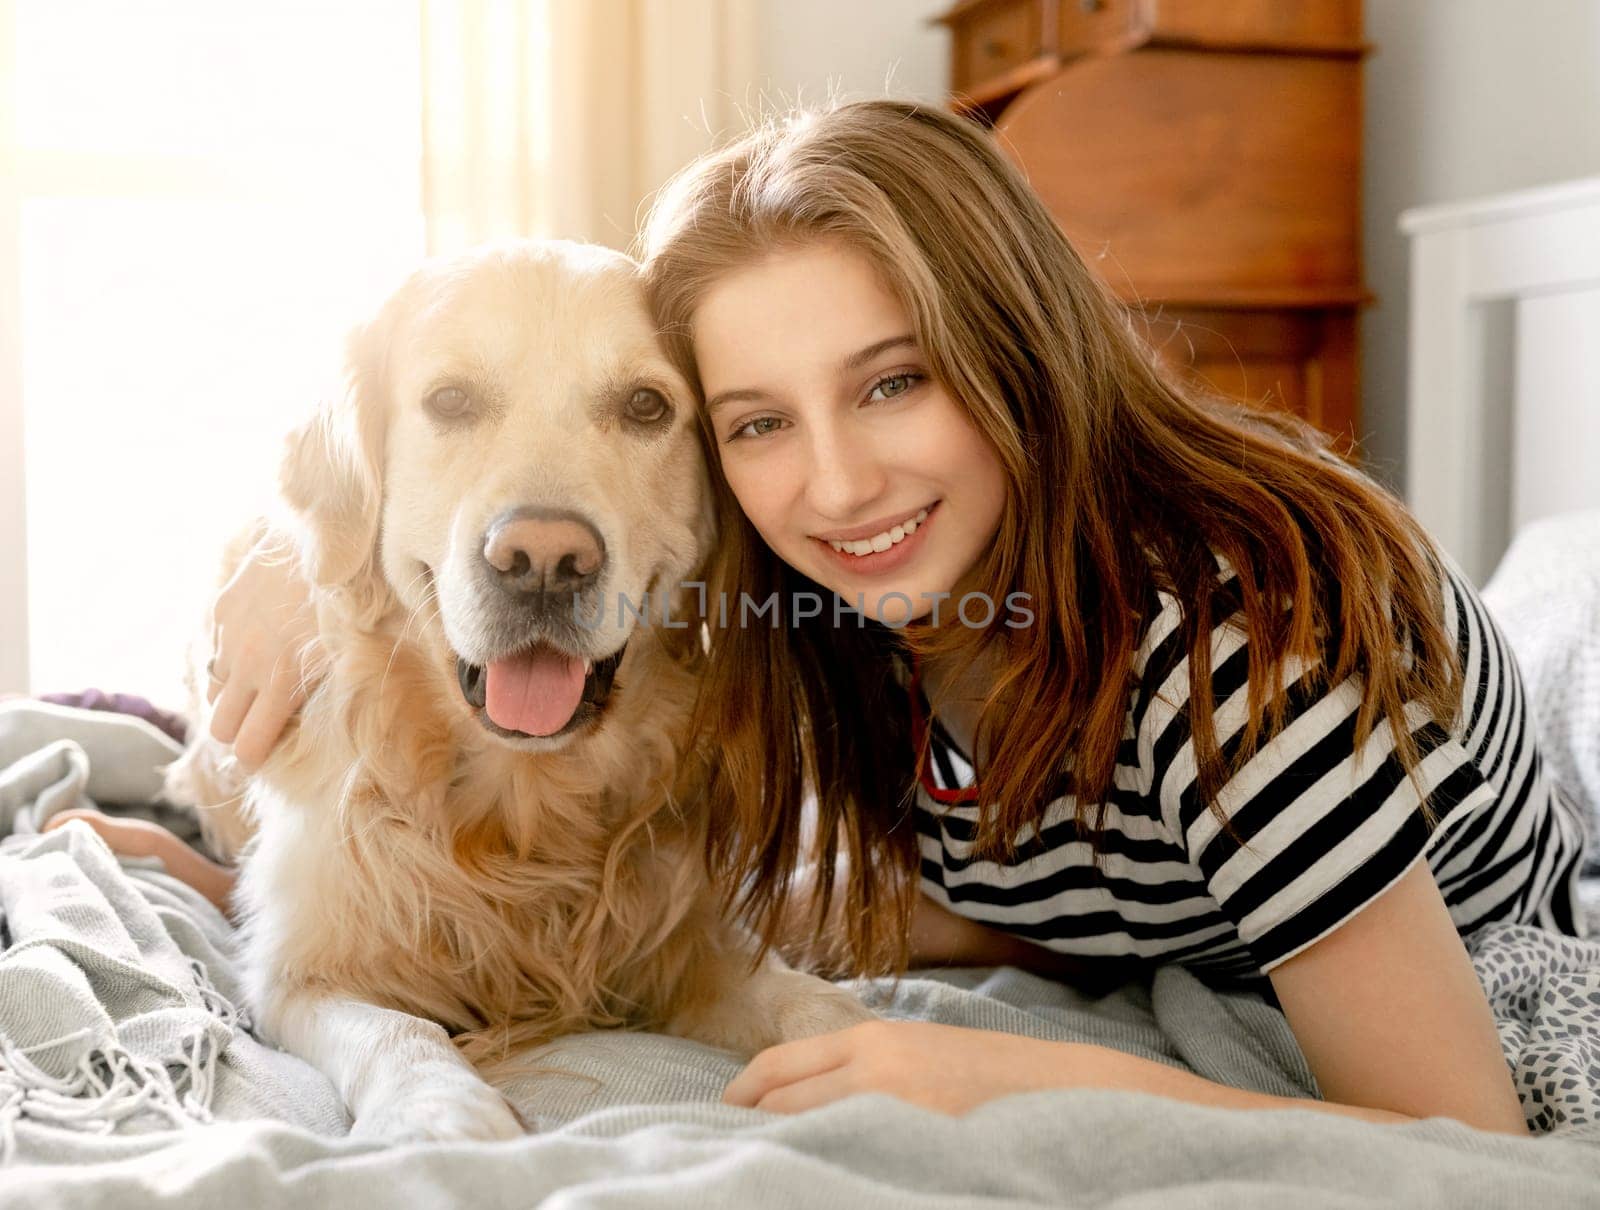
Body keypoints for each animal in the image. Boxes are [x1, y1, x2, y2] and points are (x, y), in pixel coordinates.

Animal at [165, 241, 876, 1139]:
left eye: (646, 405)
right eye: (450, 400)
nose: (543, 560)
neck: (519, 815)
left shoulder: (681, 941)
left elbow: (793, 995)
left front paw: (867, 1046)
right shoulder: (299, 971)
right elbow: (398, 1029)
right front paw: (441, 1111)